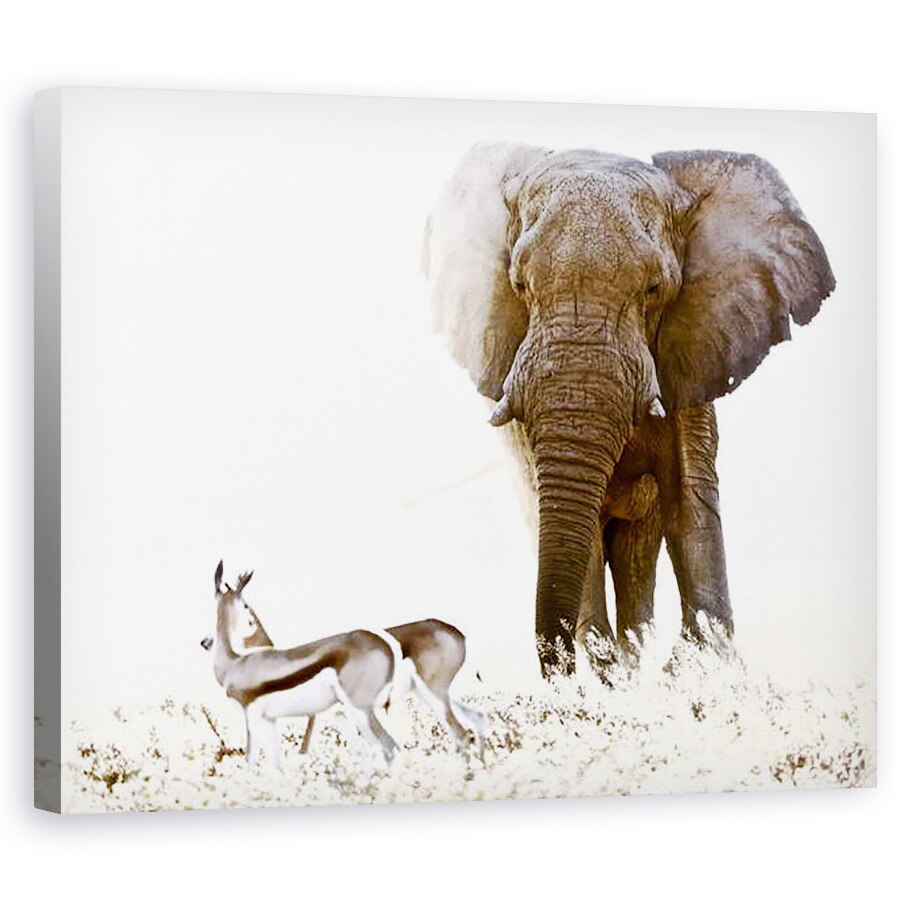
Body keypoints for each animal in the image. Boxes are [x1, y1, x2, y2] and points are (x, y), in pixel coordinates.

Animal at [423, 143, 834, 677]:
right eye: (519, 284)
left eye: (654, 289)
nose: (560, 671)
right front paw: (608, 674)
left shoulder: (691, 361)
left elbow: (690, 502)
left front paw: (697, 666)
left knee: (637, 561)